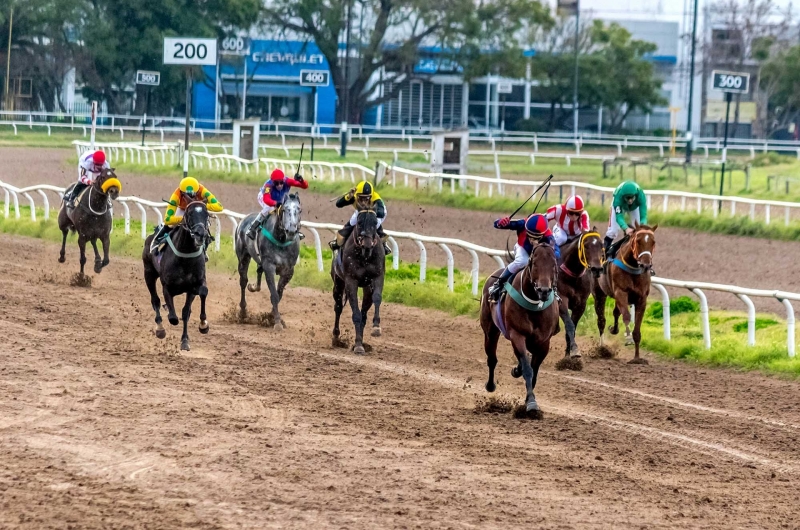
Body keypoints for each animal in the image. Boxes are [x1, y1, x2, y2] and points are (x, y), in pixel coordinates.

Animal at [142, 200, 209, 348]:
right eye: (189, 214)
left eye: (207, 214)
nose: (200, 234)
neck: (185, 257)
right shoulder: (167, 287)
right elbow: (173, 318)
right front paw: (169, 313)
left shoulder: (194, 286)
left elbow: (189, 308)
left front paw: (200, 327)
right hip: (148, 273)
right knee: (155, 300)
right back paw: (160, 328)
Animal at [236, 192, 304, 328]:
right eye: (284, 209)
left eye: (299, 210)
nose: (291, 231)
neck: (281, 240)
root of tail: (244, 219)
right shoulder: (269, 266)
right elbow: (274, 295)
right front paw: (277, 322)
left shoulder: (288, 270)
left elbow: (280, 294)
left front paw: (271, 317)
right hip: (243, 257)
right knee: (243, 281)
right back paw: (243, 312)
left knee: (258, 271)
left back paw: (254, 287)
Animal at [332, 208, 386, 352]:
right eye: (360, 223)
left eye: (375, 223)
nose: (367, 245)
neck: (364, 256)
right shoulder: (351, 281)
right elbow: (355, 313)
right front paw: (357, 345)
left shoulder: (378, 276)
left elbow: (377, 298)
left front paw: (376, 327)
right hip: (338, 283)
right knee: (338, 307)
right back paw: (336, 337)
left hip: (367, 289)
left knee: (364, 314)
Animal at [478, 241, 560, 414]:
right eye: (534, 263)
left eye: (554, 264)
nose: (544, 291)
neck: (534, 305)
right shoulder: (517, 334)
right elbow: (528, 369)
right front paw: (531, 403)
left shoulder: (544, 342)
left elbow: (534, 370)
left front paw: (529, 398)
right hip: (490, 331)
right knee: (492, 358)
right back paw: (490, 385)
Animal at [592, 223, 656, 364]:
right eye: (638, 241)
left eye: (653, 242)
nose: (646, 265)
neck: (633, 267)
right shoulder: (621, 292)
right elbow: (626, 316)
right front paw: (628, 337)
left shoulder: (641, 298)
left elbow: (637, 329)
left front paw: (637, 358)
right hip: (599, 293)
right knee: (601, 320)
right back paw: (602, 348)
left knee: (616, 312)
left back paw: (613, 329)